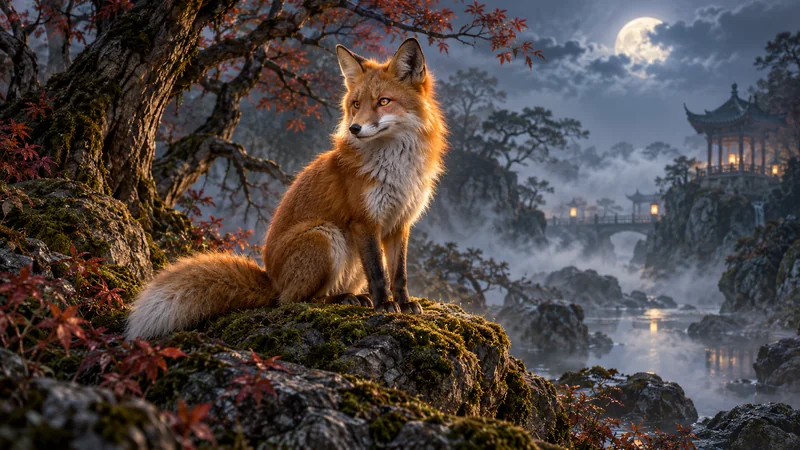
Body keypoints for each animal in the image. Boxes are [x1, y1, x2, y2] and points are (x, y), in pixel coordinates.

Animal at [125, 38, 447, 340]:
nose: (354, 129)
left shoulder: (399, 223)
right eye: (356, 104)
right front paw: (385, 305)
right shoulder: (364, 220)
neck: (395, 167)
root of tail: (271, 278)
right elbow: (379, 274)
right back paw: (343, 299)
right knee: (294, 300)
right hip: (325, 235)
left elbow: (399, 273)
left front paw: (405, 304)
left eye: (383, 101)